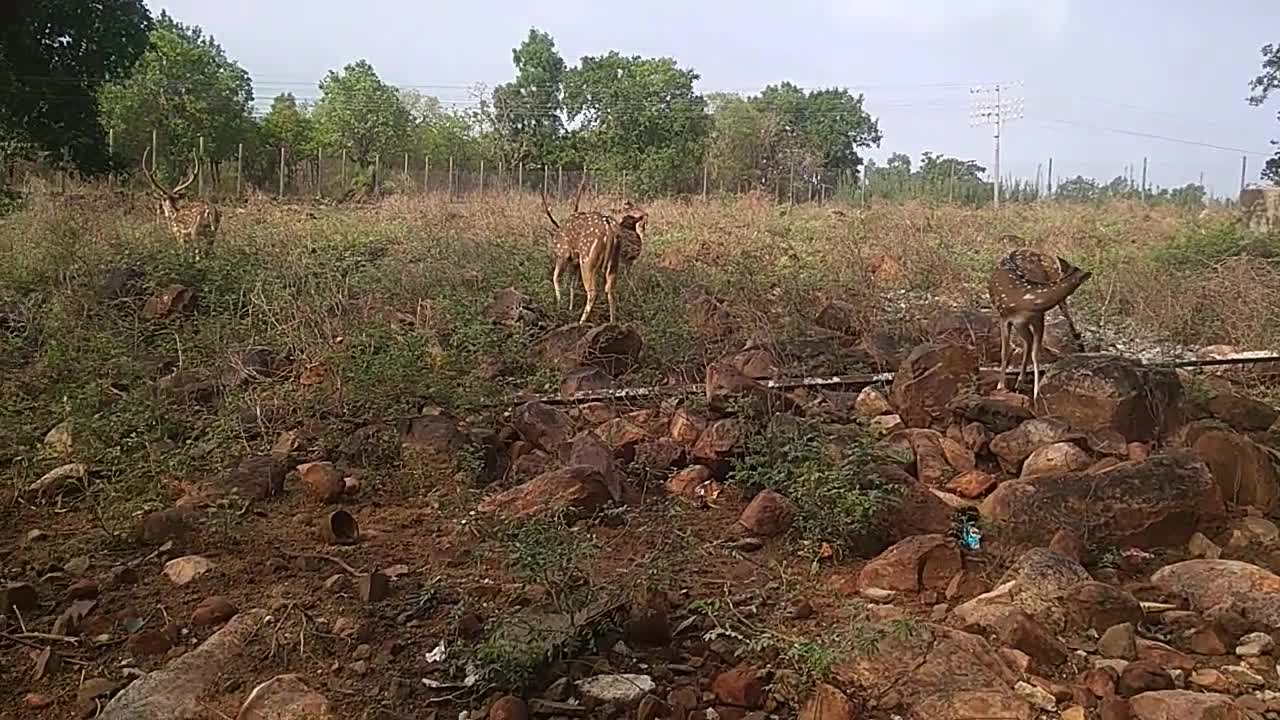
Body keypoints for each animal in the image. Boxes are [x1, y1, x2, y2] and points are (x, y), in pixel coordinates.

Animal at [988, 243, 1090, 399]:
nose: (1059, 276)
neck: (1026, 300)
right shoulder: (1004, 316)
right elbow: (1005, 351)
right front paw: (1000, 386)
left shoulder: (1038, 317)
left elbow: (1036, 354)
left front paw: (1036, 393)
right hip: (1019, 323)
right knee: (1028, 341)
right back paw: (1019, 382)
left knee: (1029, 341)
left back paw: (1020, 382)